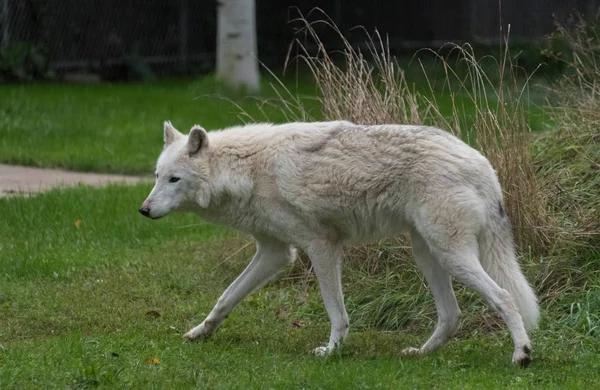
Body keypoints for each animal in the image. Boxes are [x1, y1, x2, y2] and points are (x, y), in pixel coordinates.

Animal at [139, 121, 540, 366]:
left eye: (175, 179)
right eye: (157, 176)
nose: (143, 210)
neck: (246, 170)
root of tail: (485, 164)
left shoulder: (321, 246)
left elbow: (337, 312)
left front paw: (332, 351)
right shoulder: (274, 253)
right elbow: (225, 299)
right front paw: (199, 332)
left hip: (451, 255)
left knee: (504, 297)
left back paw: (521, 354)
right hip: (428, 256)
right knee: (452, 315)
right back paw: (420, 353)